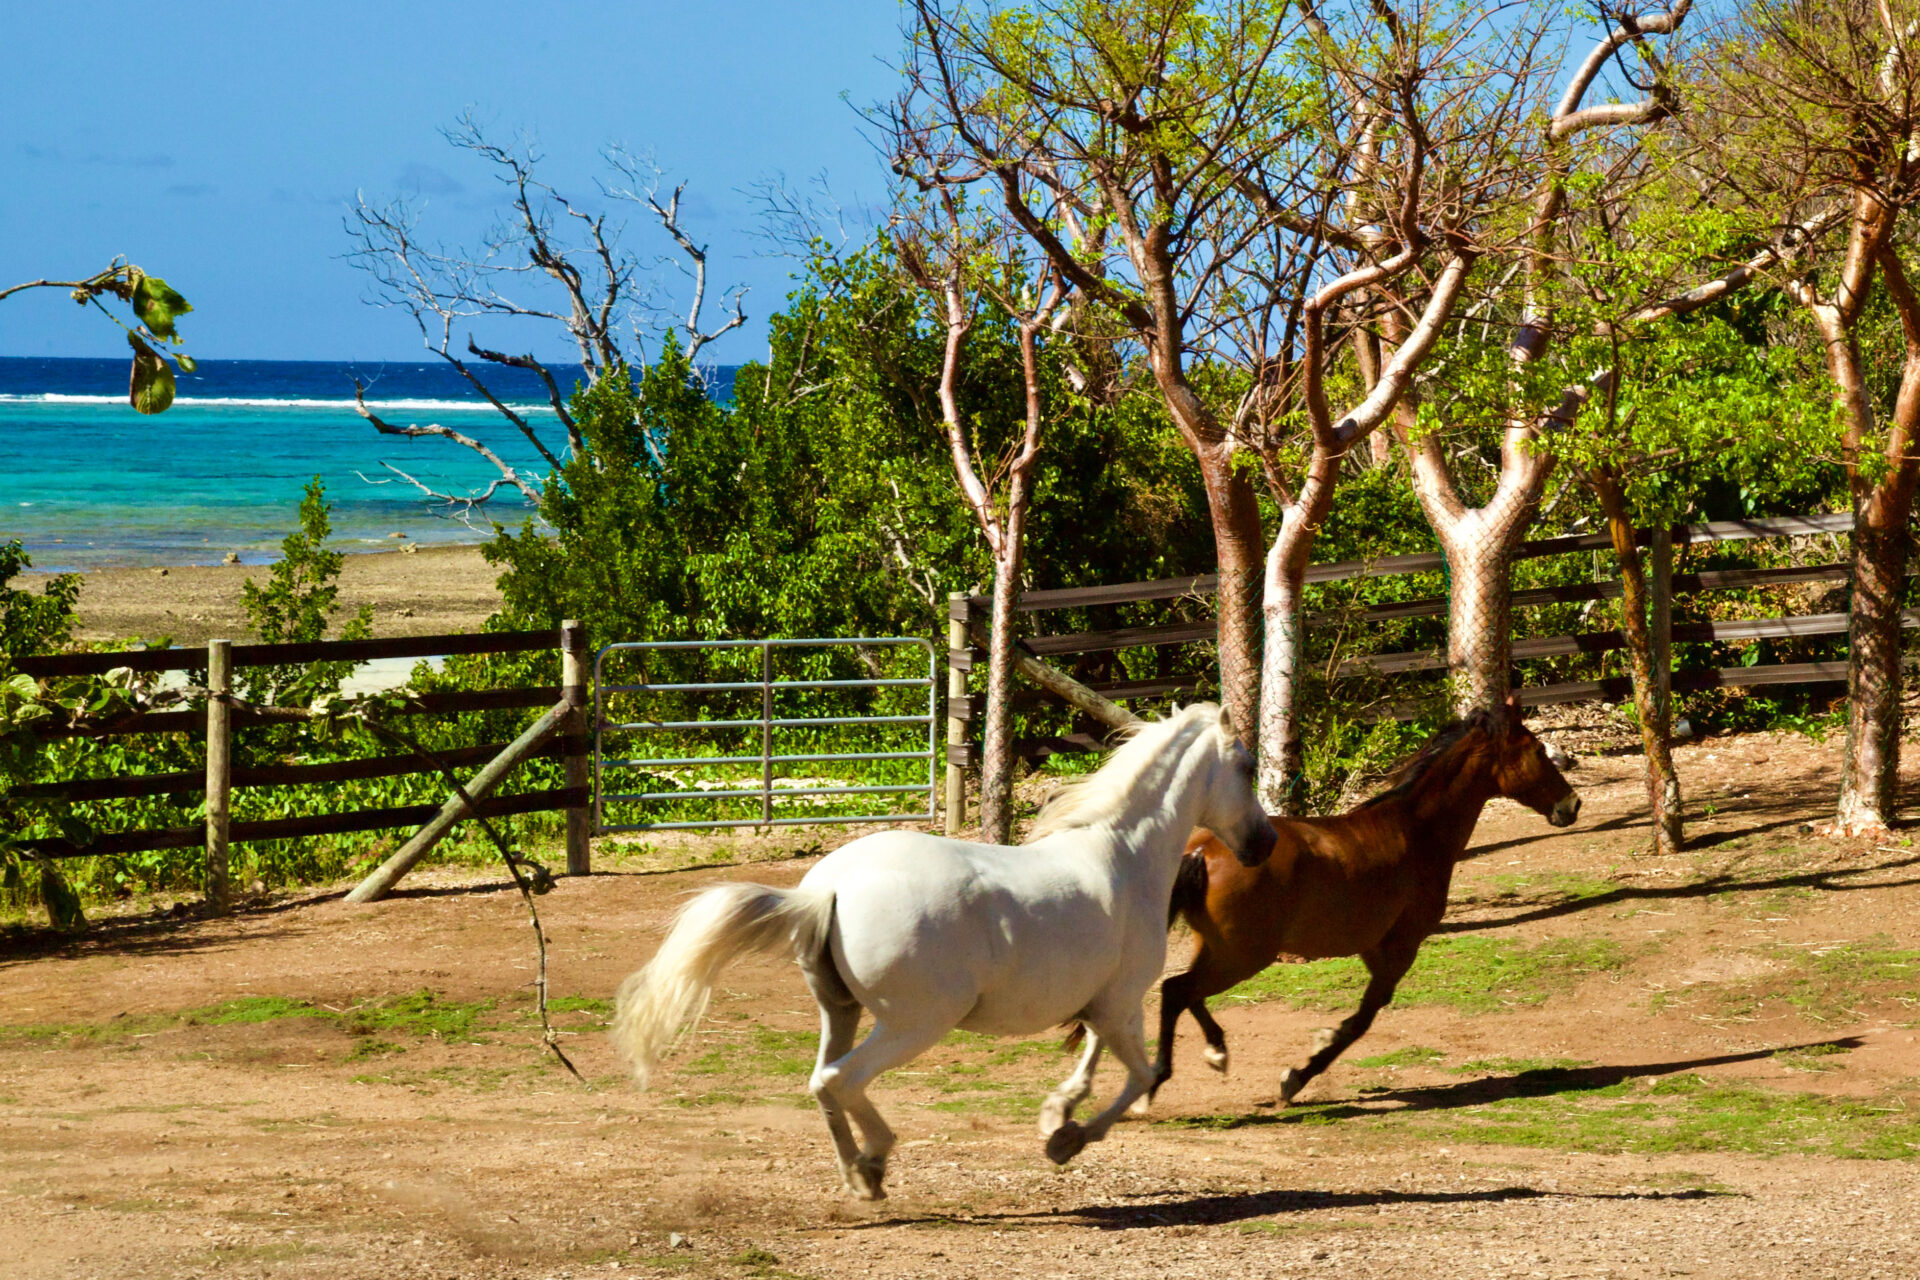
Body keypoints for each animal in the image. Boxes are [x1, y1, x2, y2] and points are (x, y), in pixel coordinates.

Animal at [610, 702, 1274, 1205]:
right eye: (1245, 766)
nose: (1264, 843)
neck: (1124, 856)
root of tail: (825, 888)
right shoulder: (1120, 1001)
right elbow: (1141, 1074)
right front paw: (1065, 1141)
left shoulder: (1106, 1002)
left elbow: (1092, 1062)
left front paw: (1057, 1114)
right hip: (916, 1023)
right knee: (838, 1080)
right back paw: (876, 1161)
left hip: (839, 1010)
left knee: (821, 1083)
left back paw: (862, 1179)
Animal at [1144, 694, 1582, 1105]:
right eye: (1538, 751)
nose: (1572, 804)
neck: (1415, 830)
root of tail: (1202, 851)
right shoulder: (1401, 946)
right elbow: (1366, 1016)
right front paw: (1298, 1075)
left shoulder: (1374, 948)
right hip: (1242, 955)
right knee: (1178, 990)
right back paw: (1157, 1081)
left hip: (1219, 949)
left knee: (1184, 991)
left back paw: (1216, 1052)